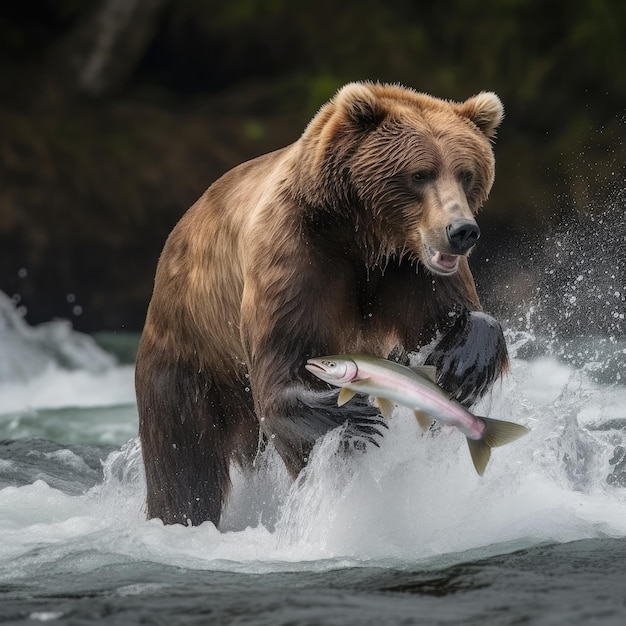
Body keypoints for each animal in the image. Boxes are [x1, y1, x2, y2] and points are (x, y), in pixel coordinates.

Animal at [135, 80, 508, 524]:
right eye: (420, 174)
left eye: (467, 174)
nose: (461, 231)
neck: (364, 237)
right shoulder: (298, 256)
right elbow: (287, 370)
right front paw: (353, 416)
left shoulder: (412, 270)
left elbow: (454, 318)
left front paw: (462, 365)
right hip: (191, 353)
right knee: (184, 459)